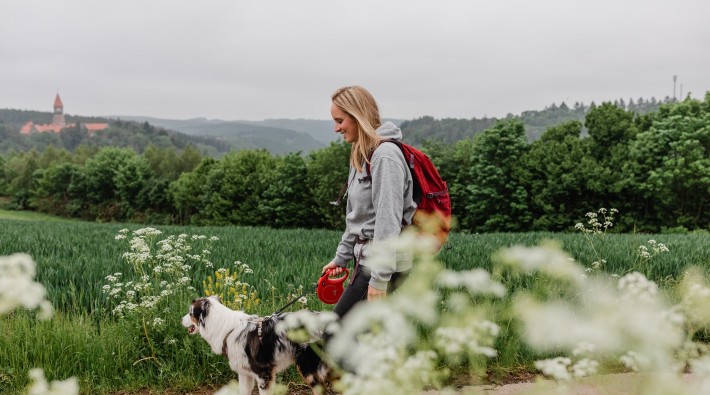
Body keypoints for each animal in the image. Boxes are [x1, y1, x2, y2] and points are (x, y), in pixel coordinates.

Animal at [181, 296, 336, 395]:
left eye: (190, 313)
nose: (180, 320)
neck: (226, 329)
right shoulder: (244, 374)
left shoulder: (263, 374)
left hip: (308, 368)